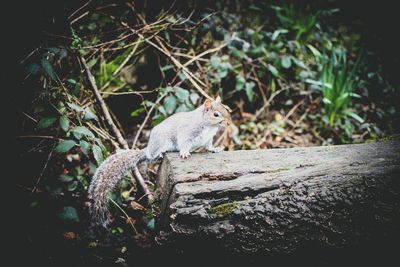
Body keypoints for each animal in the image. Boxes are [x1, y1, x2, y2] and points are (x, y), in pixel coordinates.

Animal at [87, 95, 231, 227]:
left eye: (225, 108)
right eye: (216, 114)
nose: (228, 123)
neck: (208, 126)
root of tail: (149, 148)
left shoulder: (208, 139)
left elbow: (209, 146)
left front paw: (215, 149)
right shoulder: (186, 132)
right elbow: (184, 142)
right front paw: (184, 152)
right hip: (162, 141)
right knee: (152, 156)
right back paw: (160, 154)